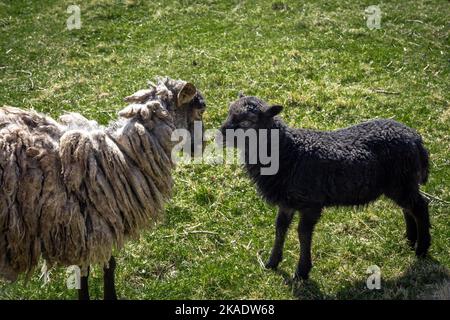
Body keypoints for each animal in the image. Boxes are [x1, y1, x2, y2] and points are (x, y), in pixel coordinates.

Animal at [220, 94, 430, 280]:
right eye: (229, 112)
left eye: (248, 121)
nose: (220, 133)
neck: (289, 151)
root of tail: (416, 139)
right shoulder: (287, 202)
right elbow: (280, 228)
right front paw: (272, 263)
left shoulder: (311, 203)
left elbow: (303, 234)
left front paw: (302, 272)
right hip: (401, 183)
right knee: (408, 208)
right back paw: (410, 240)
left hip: (402, 181)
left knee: (420, 206)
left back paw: (421, 249)